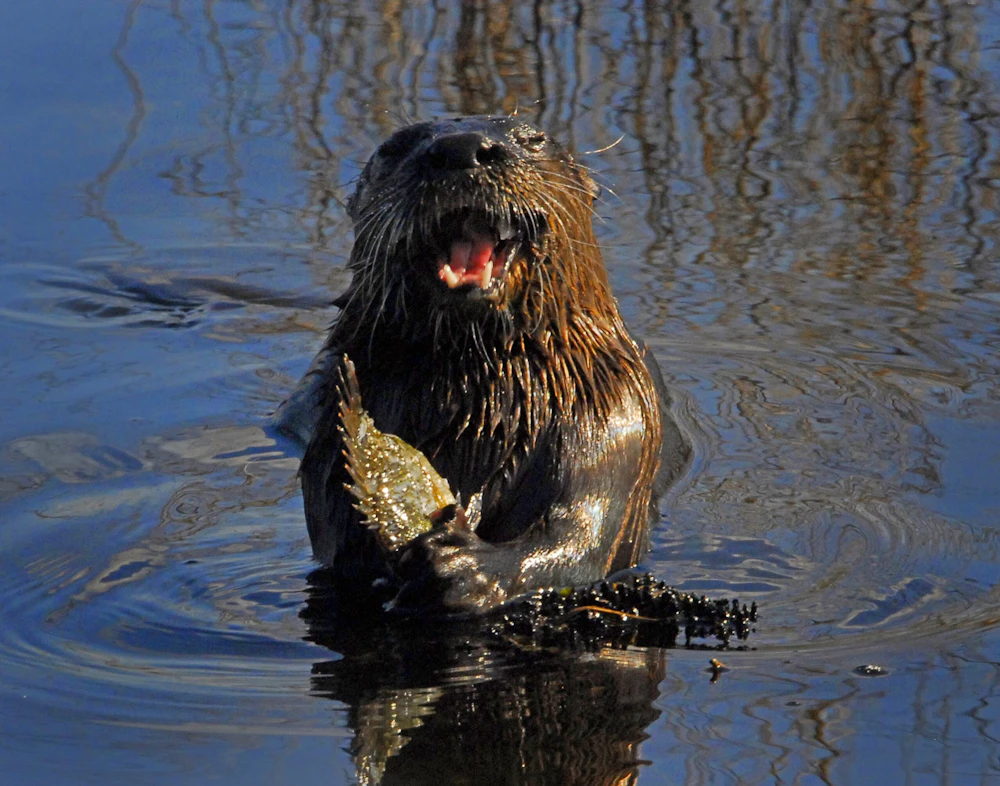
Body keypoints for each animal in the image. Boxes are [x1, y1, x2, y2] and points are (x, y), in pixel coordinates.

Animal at [274, 116, 690, 613]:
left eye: (533, 139)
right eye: (396, 146)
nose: (461, 148)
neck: (483, 411)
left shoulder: (615, 421)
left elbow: (580, 536)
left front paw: (462, 566)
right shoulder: (335, 408)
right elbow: (333, 520)